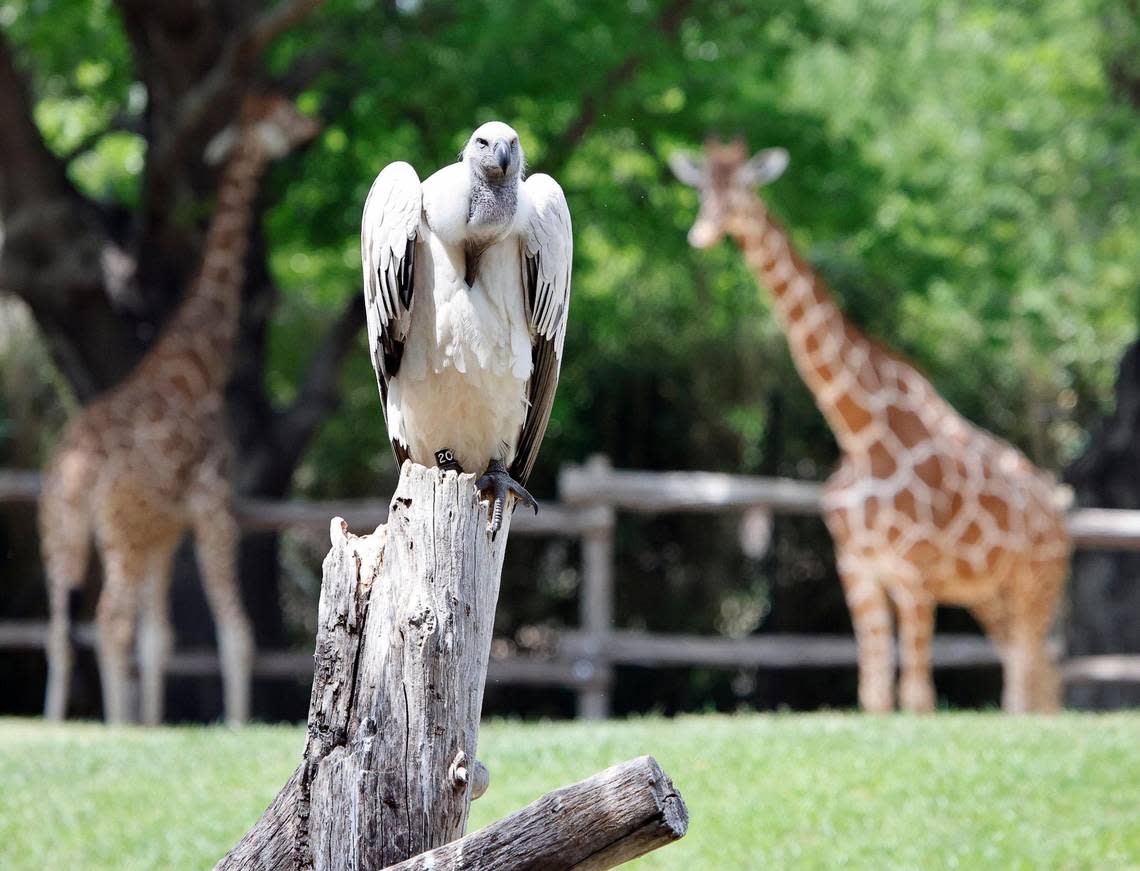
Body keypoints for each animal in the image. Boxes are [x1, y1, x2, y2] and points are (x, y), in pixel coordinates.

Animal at [39, 95, 321, 725]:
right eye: (284, 111)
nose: (313, 127)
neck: (199, 367)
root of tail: (77, 468)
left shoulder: (165, 530)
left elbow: (161, 640)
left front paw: (152, 724)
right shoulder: (213, 504)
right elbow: (235, 634)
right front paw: (234, 726)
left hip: (63, 533)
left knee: (62, 629)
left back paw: (59, 723)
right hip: (119, 532)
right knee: (108, 621)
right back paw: (111, 728)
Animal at [665, 139, 1067, 715]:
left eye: (742, 186)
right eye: (701, 187)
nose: (702, 233)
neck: (858, 435)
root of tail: (1059, 511)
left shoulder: (914, 572)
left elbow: (917, 696)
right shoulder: (858, 570)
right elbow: (874, 692)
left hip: (1037, 584)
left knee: (1025, 686)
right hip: (992, 595)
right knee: (1039, 681)